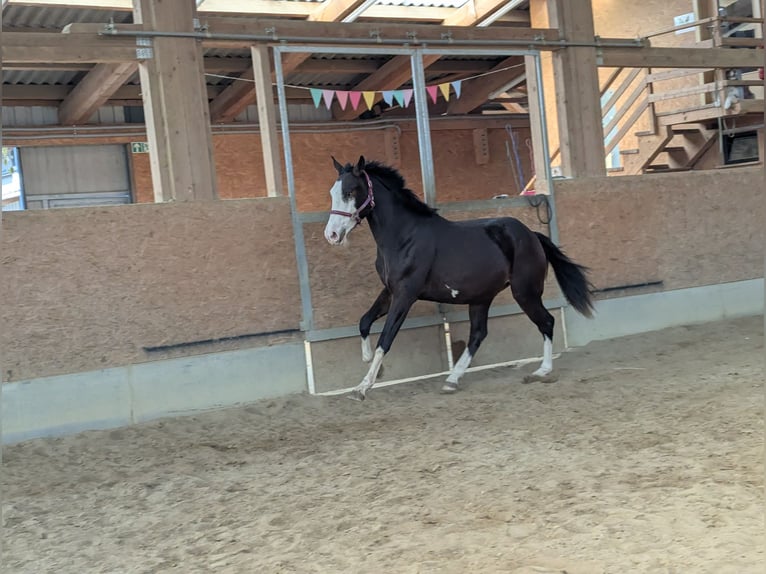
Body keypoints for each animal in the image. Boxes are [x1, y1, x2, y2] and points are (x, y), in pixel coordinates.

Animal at [324, 155, 594, 401]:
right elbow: (364, 322)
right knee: (478, 334)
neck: (404, 236)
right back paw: (452, 380)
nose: (332, 235)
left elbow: (386, 339)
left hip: (524, 292)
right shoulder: (390, 291)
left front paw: (362, 387)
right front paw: (368, 362)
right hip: (482, 297)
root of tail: (532, 235)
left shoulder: (406, 294)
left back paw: (542, 371)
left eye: (350, 191)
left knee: (546, 322)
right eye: (333, 192)